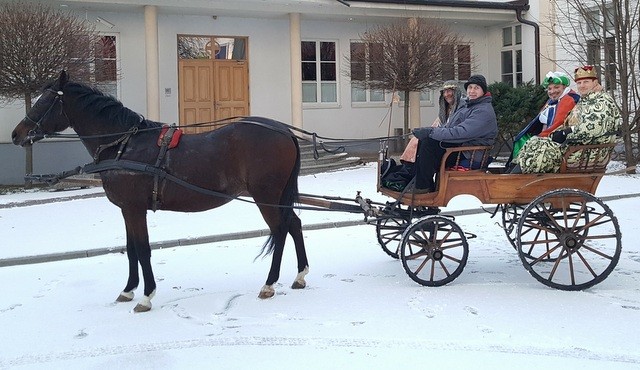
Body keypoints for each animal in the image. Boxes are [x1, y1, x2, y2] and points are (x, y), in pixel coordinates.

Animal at [11, 71, 308, 310]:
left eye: (43, 101)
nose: (16, 134)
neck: (123, 145)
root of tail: (284, 131)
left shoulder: (134, 209)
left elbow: (143, 249)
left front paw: (146, 296)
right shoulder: (127, 209)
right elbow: (131, 248)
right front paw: (128, 290)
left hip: (266, 196)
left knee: (280, 229)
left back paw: (269, 284)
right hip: (277, 197)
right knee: (294, 223)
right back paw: (300, 275)